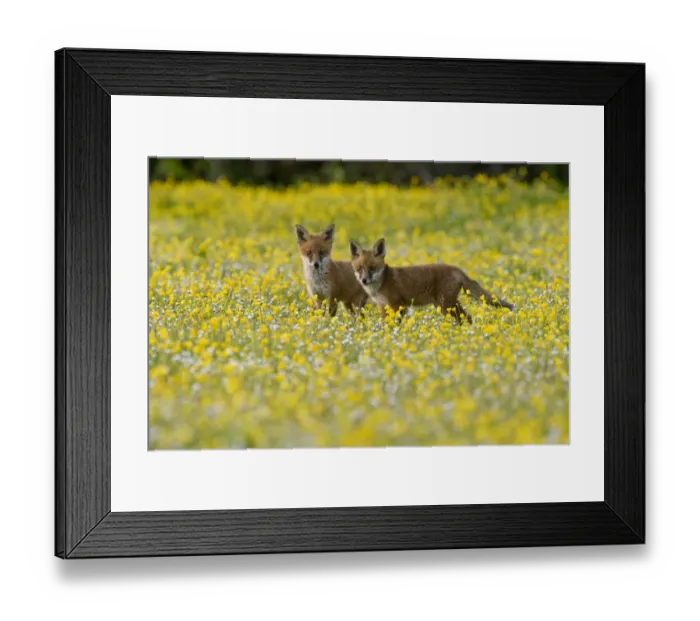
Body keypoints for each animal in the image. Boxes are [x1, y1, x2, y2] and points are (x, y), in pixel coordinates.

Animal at [349, 237, 514, 324]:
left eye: (372, 268)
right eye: (359, 268)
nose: (364, 280)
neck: (381, 284)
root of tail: (457, 268)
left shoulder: (397, 305)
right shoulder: (383, 306)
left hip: (445, 305)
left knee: (465, 317)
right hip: (446, 304)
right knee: (466, 317)